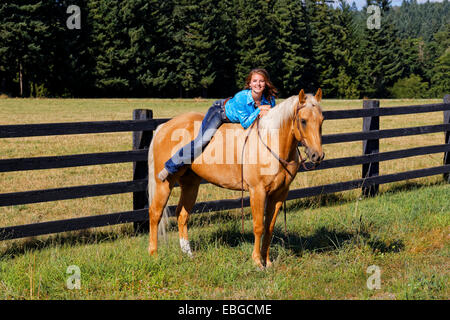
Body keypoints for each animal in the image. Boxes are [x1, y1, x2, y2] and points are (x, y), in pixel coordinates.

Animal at [148, 89, 324, 268]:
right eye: (303, 121)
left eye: (321, 121)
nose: (317, 155)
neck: (271, 143)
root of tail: (163, 127)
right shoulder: (257, 191)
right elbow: (259, 226)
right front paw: (257, 262)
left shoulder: (279, 194)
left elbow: (270, 227)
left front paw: (267, 261)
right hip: (165, 184)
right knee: (155, 213)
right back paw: (153, 254)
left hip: (191, 184)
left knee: (182, 215)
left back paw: (188, 254)